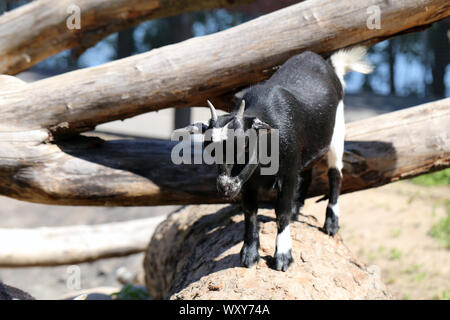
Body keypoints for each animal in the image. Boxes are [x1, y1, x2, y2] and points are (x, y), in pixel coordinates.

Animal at [178, 46, 372, 272]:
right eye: (209, 148)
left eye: (245, 144)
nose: (225, 187)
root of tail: (326, 64)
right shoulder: (247, 182)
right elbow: (250, 211)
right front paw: (249, 254)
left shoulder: (286, 173)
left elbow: (282, 210)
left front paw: (283, 256)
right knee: (307, 173)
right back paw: (299, 210)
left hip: (337, 130)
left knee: (335, 174)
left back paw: (331, 223)